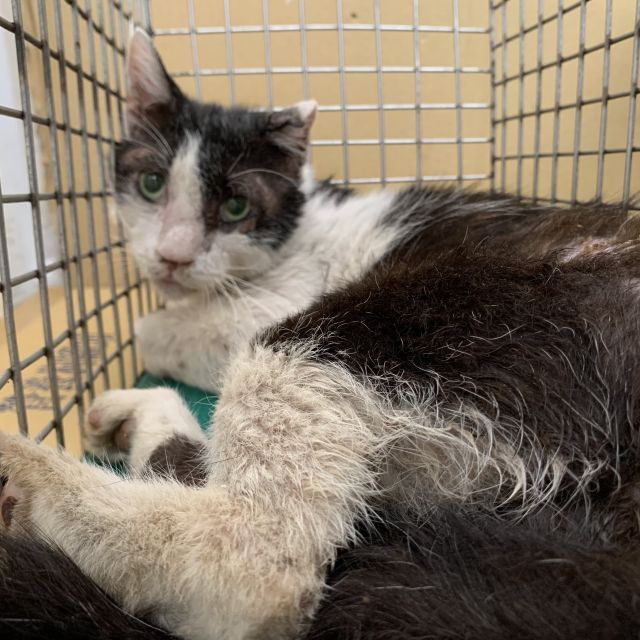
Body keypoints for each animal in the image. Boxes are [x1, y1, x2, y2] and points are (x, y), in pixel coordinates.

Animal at [2, 28, 640, 640]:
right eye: (152, 184)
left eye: (236, 207)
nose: (172, 256)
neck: (301, 226)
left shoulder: (283, 297)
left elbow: (154, 329)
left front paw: (159, 325)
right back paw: (139, 419)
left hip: (420, 315)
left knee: (255, 573)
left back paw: (28, 476)